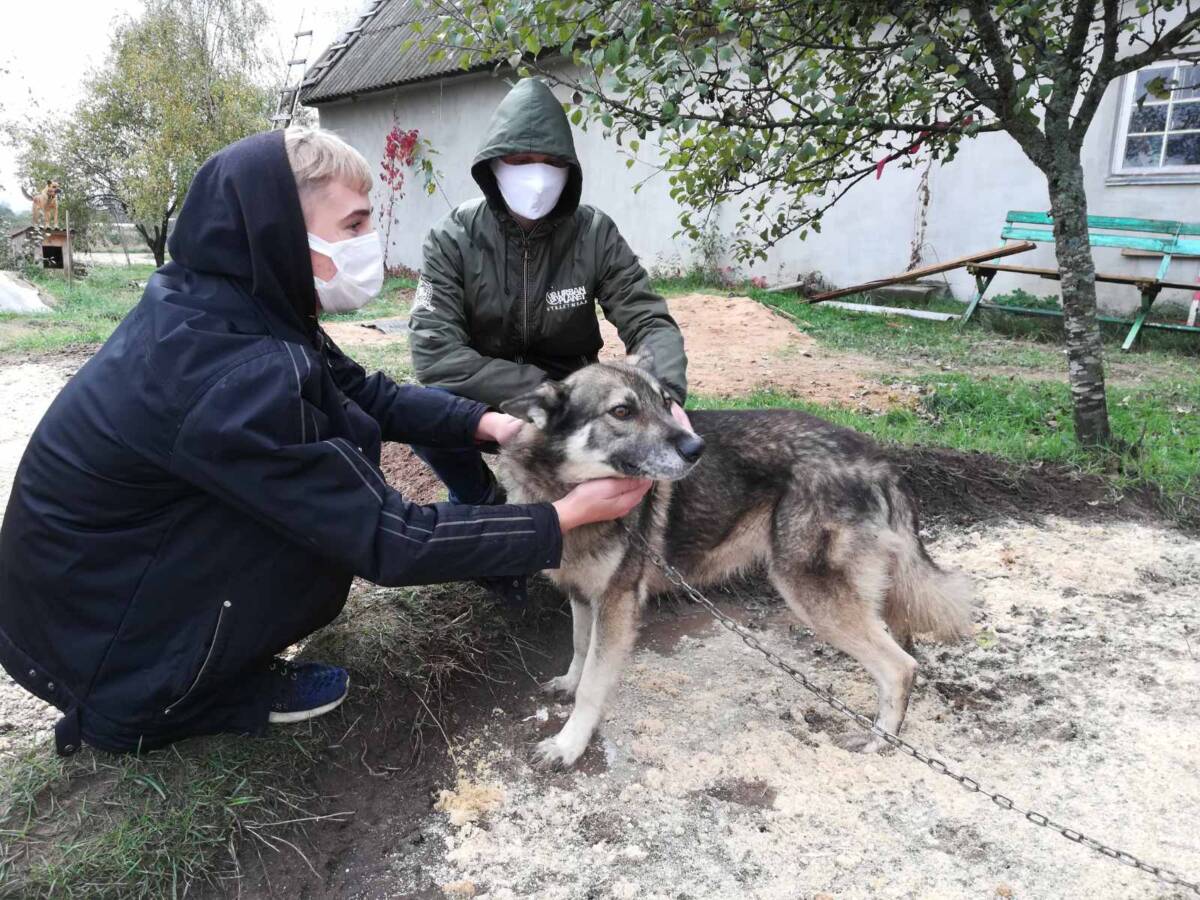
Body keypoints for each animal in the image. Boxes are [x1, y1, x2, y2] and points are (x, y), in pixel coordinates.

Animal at [497, 355, 973, 768]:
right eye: (622, 411)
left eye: (665, 403)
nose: (696, 447)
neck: (563, 488)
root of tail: (879, 460)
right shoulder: (582, 592)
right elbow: (580, 648)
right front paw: (569, 683)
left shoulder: (617, 602)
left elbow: (594, 685)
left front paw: (568, 744)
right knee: (902, 643)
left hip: (811, 594)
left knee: (900, 667)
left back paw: (882, 740)